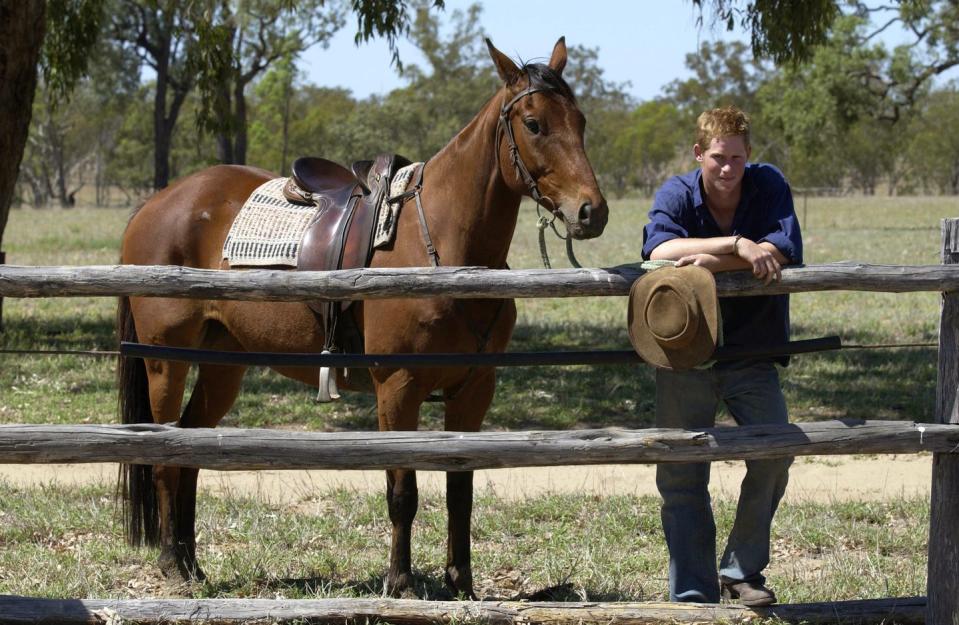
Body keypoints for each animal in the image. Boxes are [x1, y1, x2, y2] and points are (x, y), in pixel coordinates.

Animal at [118, 37, 608, 596]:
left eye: (580, 120)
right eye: (533, 124)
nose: (591, 211)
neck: (444, 245)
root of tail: (154, 204)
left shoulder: (473, 389)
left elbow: (460, 488)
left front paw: (460, 582)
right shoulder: (397, 387)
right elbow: (403, 490)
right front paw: (400, 582)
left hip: (223, 364)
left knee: (192, 449)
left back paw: (192, 562)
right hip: (165, 361)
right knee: (165, 454)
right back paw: (171, 564)